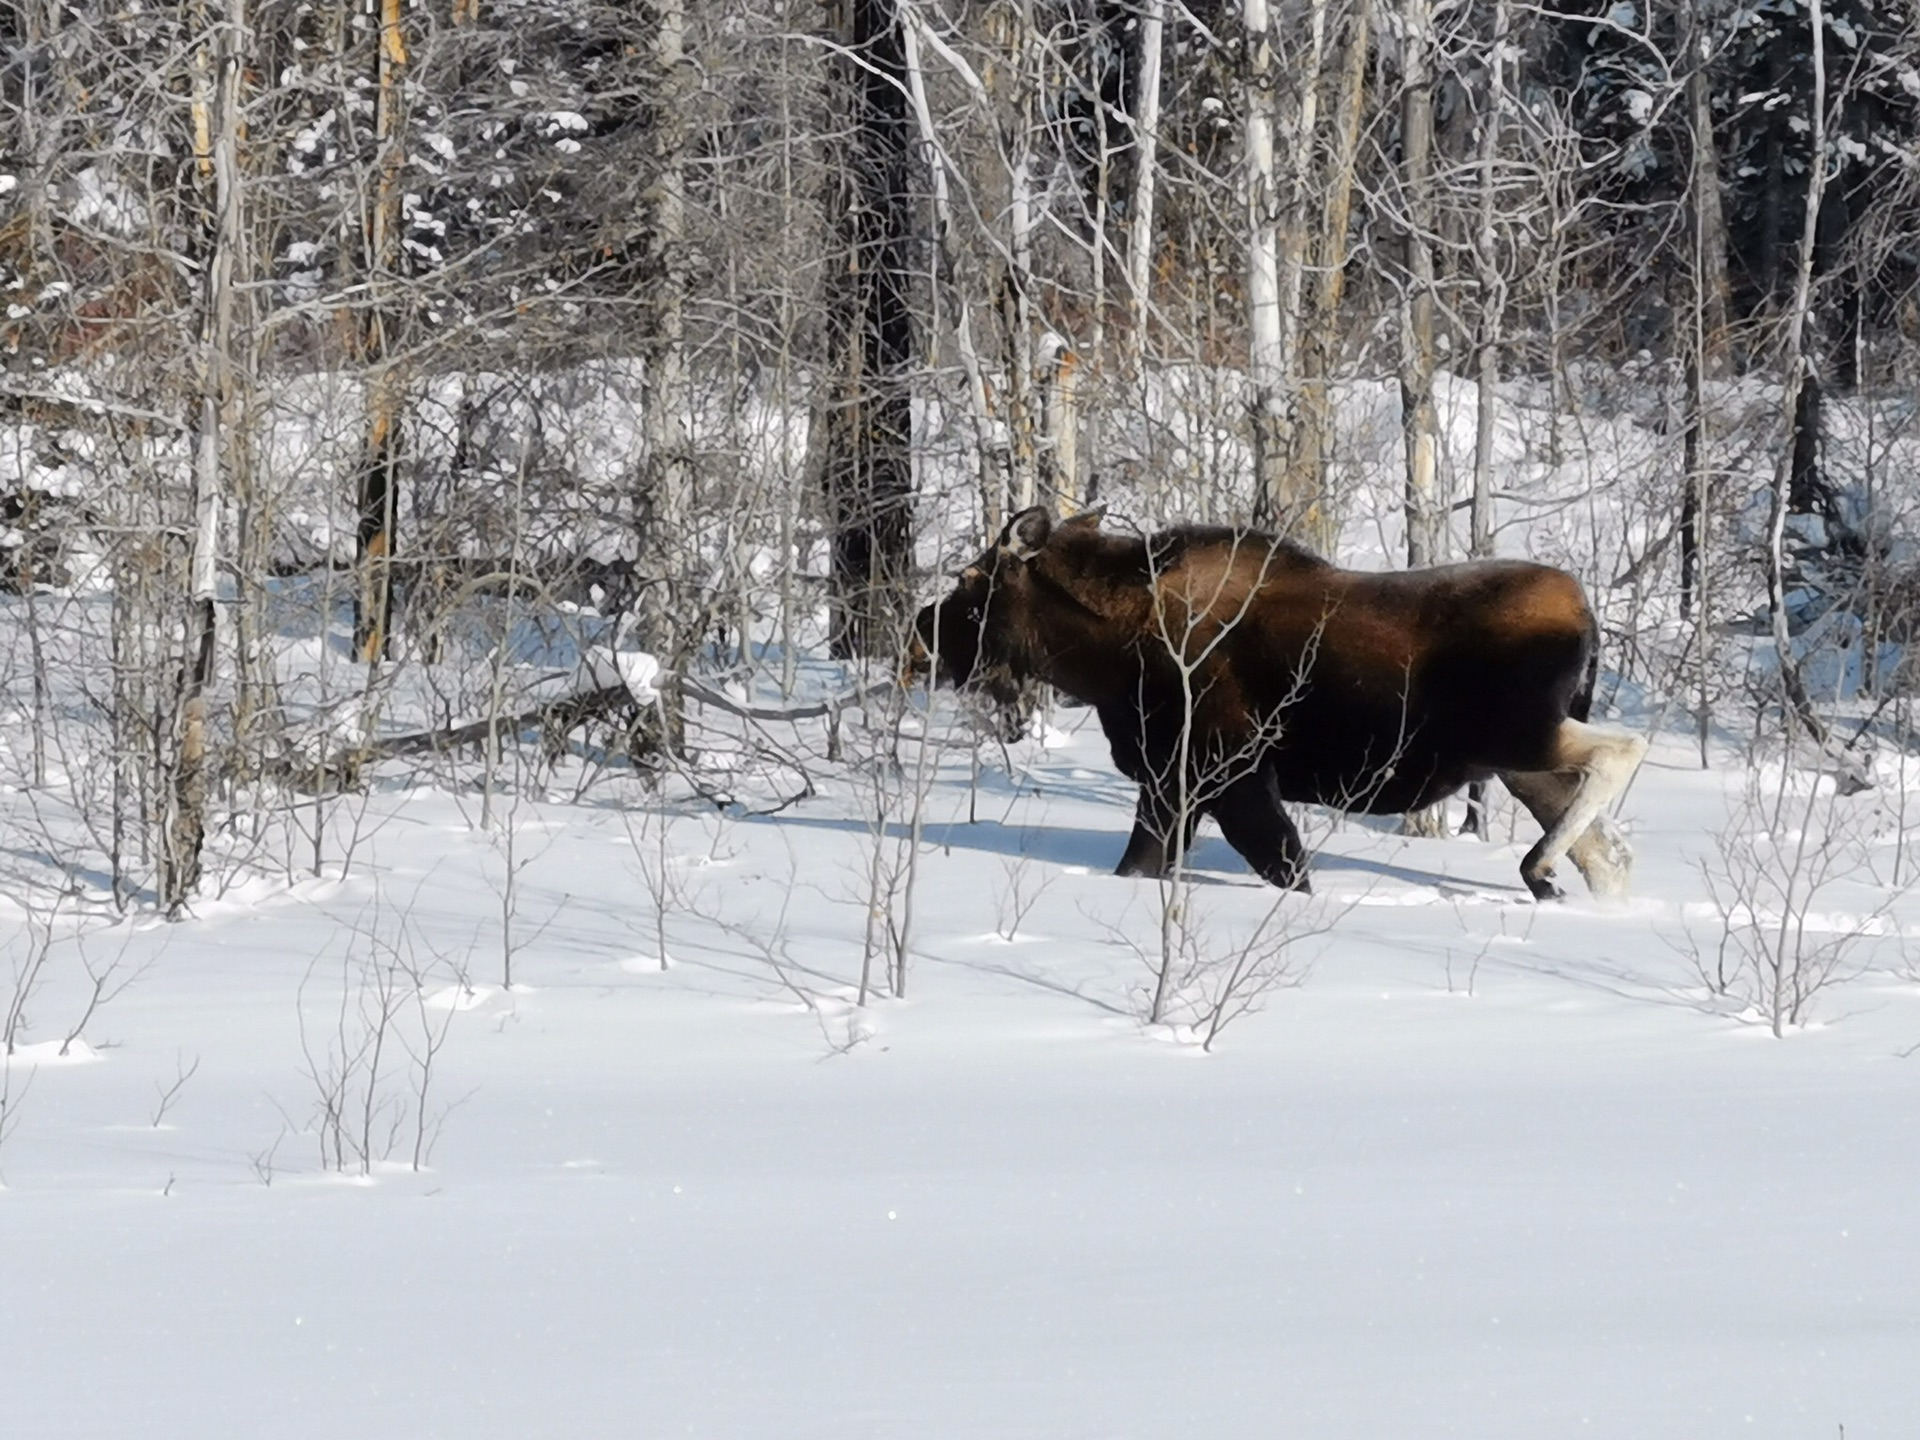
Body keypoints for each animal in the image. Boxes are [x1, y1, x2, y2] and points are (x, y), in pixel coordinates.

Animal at [913, 510, 1651, 902]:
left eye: (972, 582)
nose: (923, 626)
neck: (1108, 656)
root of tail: (1587, 612)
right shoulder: (1170, 782)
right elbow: (1143, 863)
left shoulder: (1230, 773)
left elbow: (1286, 864)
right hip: (1518, 760)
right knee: (1608, 850)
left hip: (1518, 733)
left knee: (1622, 752)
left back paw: (1538, 867)